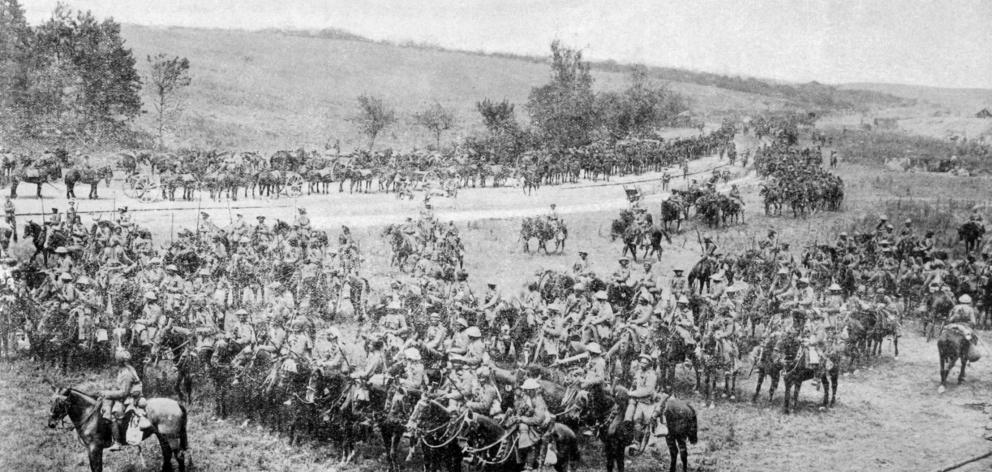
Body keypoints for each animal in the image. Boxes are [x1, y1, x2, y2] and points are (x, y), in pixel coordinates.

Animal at [47, 388, 191, 472]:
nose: (51, 424)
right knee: (167, 454)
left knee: (179, 456)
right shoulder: (93, 449)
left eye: (60, 403)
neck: (90, 414)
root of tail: (176, 403)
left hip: (172, 437)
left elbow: (96, 467)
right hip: (162, 436)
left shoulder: (94, 448)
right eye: (50, 401)